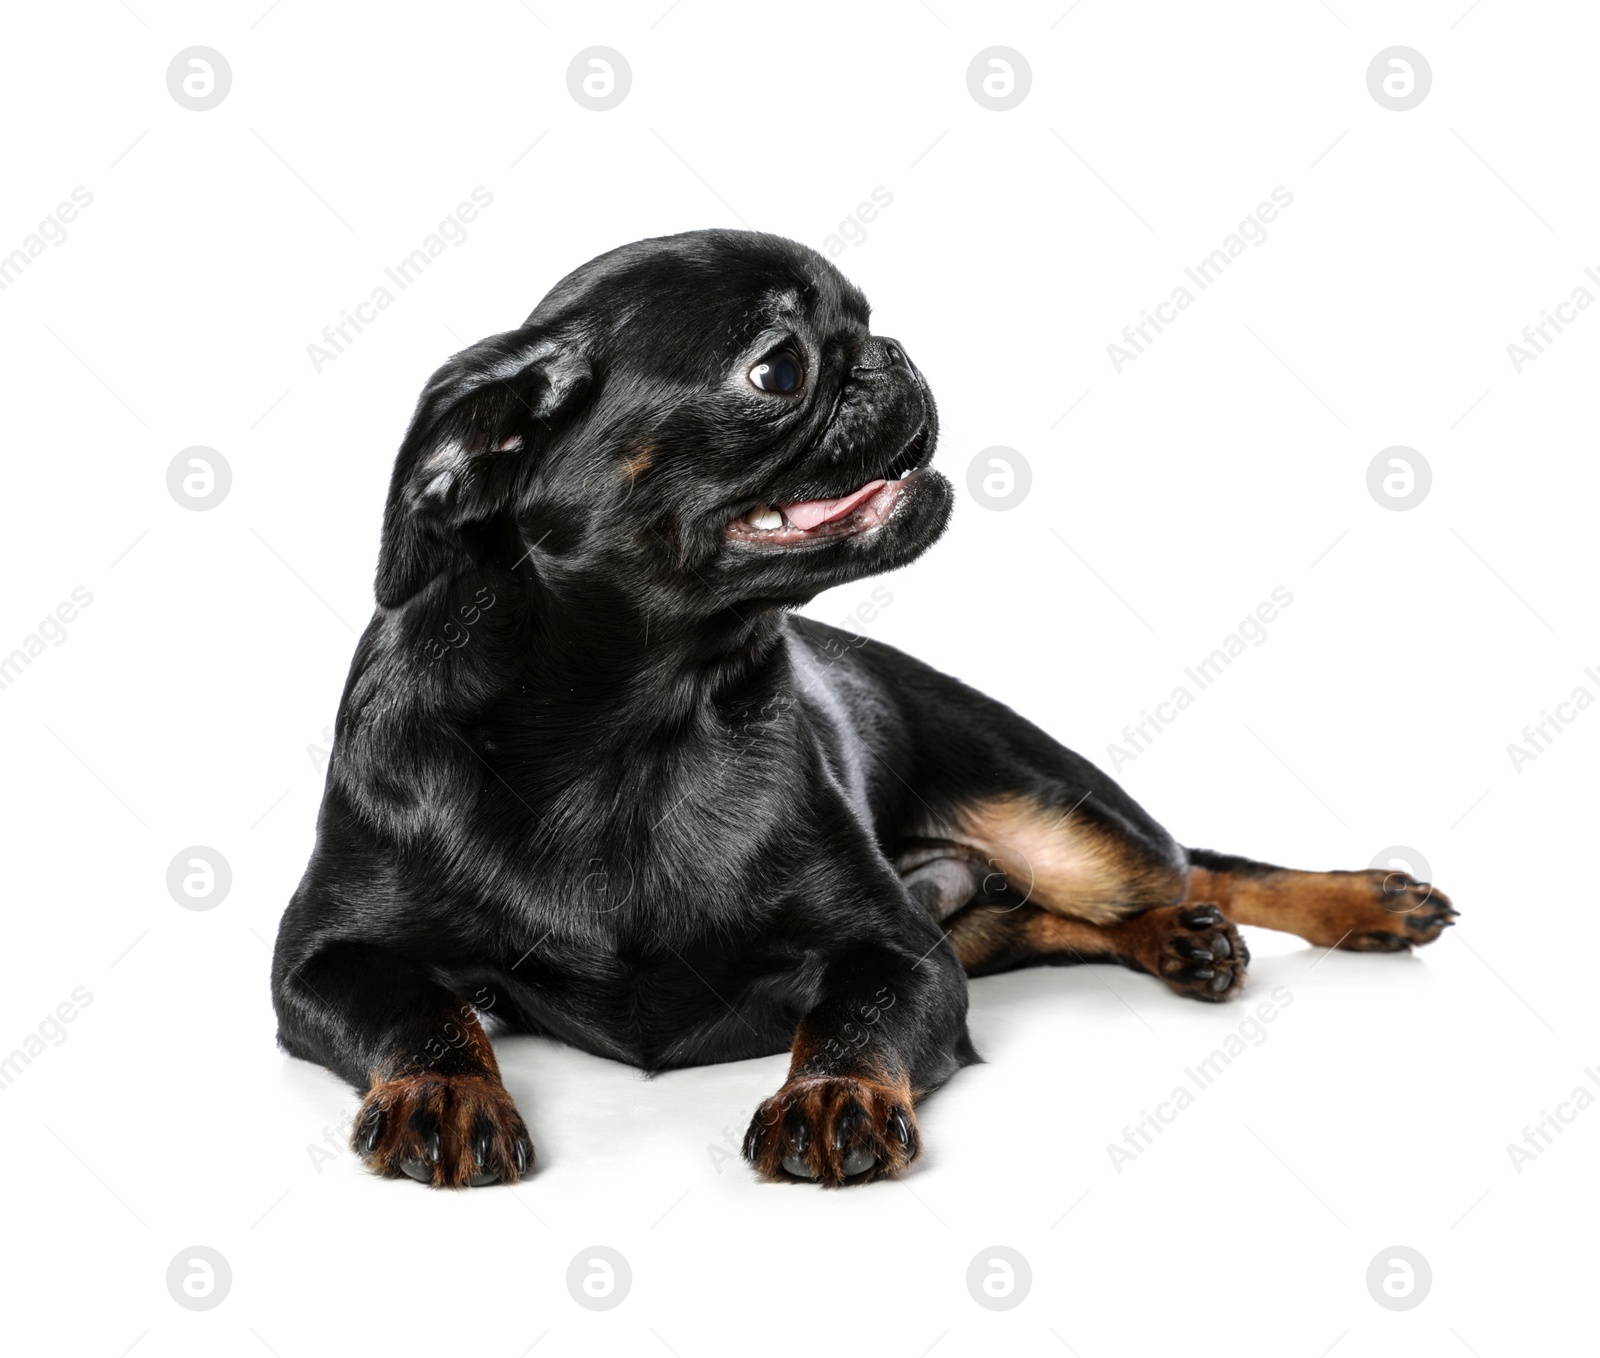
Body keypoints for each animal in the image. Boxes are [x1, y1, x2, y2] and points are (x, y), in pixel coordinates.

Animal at [272, 227, 1452, 1183]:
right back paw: (1189, 943)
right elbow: (424, 1008)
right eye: (778, 367)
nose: (889, 353)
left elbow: (850, 1018)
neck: (627, 722)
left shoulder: (900, 953)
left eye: (865, 325)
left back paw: (1358, 902)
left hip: (1062, 823)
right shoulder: (320, 961)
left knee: (1189, 862)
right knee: (1064, 915)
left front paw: (830, 1094)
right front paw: (444, 1089)